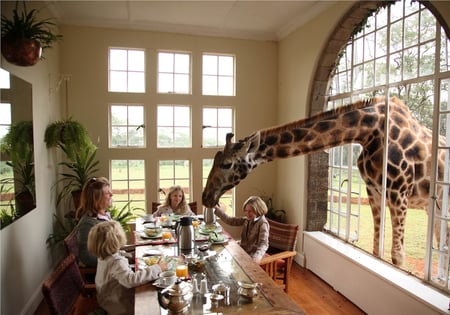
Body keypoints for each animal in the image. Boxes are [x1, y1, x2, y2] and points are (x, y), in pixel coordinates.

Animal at [202, 96, 448, 266]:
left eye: (227, 164)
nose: (206, 198)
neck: (370, 131)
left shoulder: (399, 192)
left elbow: (397, 257)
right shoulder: (374, 191)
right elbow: (377, 247)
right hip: (434, 208)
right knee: (441, 242)